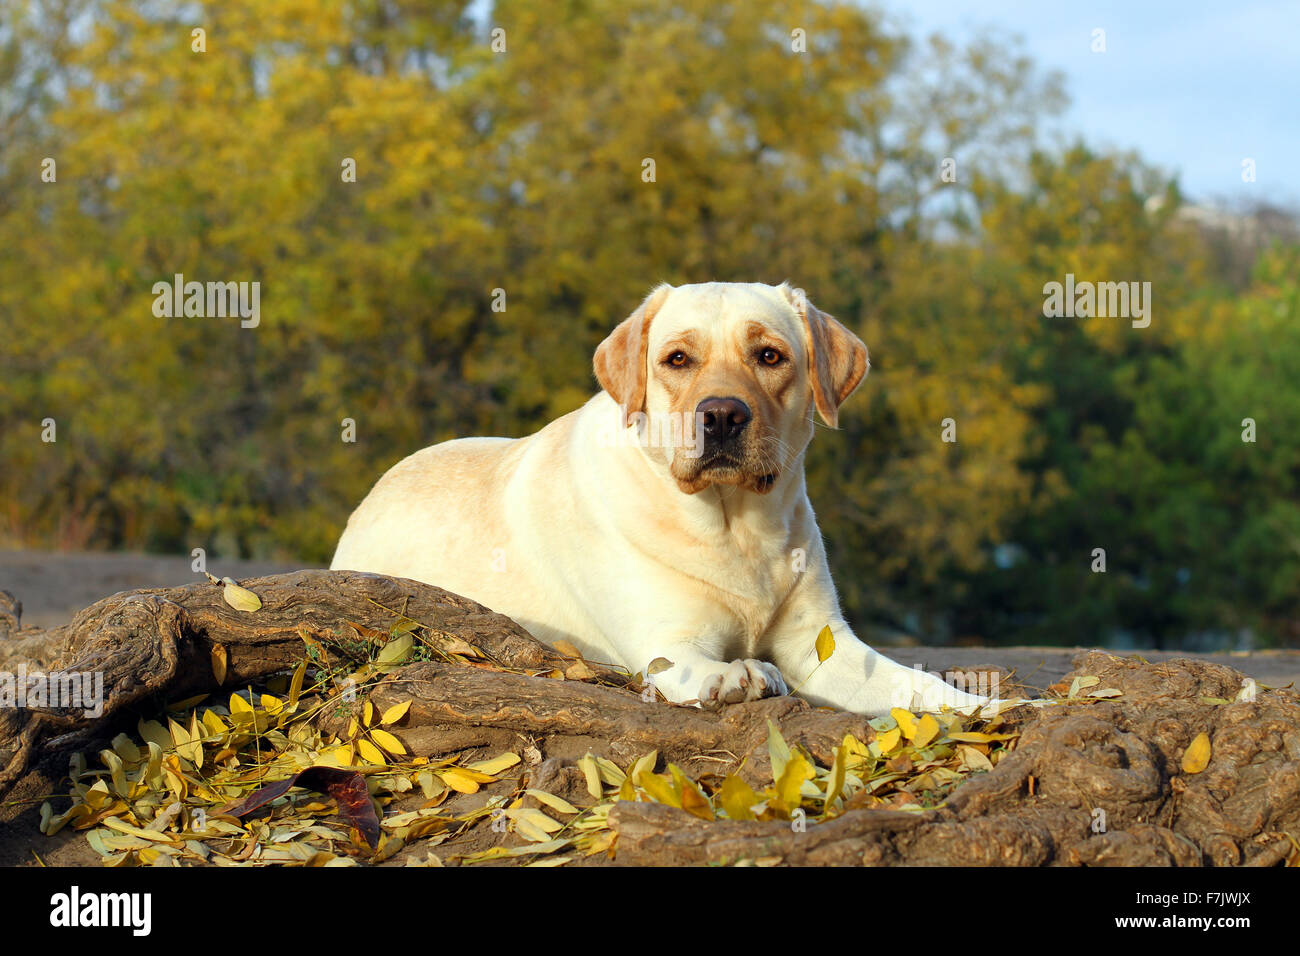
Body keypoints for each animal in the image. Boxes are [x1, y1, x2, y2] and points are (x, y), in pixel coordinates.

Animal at [332, 283, 993, 717]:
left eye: (769, 355)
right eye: (678, 359)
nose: (722, 415)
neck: (735, 529)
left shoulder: (824, 648)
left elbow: (919, 687)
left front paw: (988, 707)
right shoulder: (665, 643)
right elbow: (702, 665)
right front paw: (740, 675)